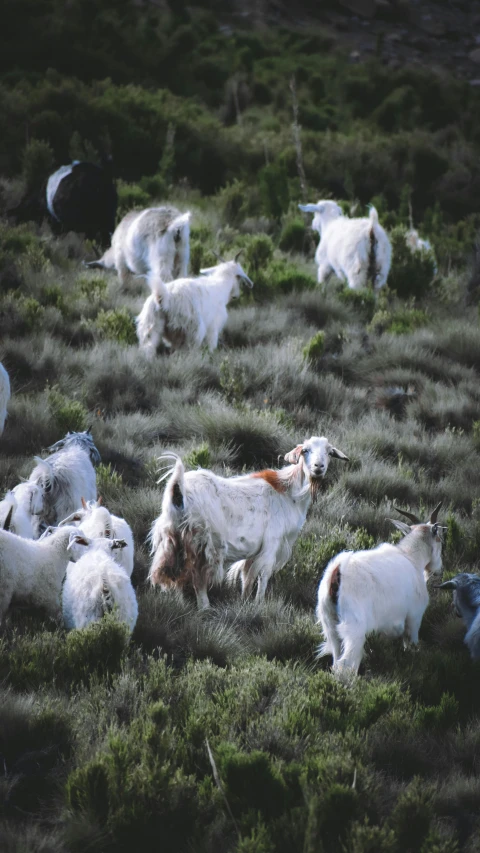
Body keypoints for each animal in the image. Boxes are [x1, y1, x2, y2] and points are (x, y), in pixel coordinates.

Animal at [150, 436, 348, 608]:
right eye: (305, 450)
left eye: (329, 452)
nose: (318, 467)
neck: (290, 494)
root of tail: (178, 488)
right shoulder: (272, 543)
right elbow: (263, 574)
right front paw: (259, 603)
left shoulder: (255, 550)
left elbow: (247, 576)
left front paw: (245, 602)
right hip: (202, 543)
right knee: (197, 578)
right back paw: (205, 608)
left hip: (172, 539)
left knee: (172, 574)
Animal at [316, 502, 444, 676]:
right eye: (440, 539)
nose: (439, 569)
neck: (411, 558)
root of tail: (337, 573)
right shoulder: (413, 618)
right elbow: (411, 647)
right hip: (354, 629)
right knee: (346, 666)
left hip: (330, 625)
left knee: (336, 661)